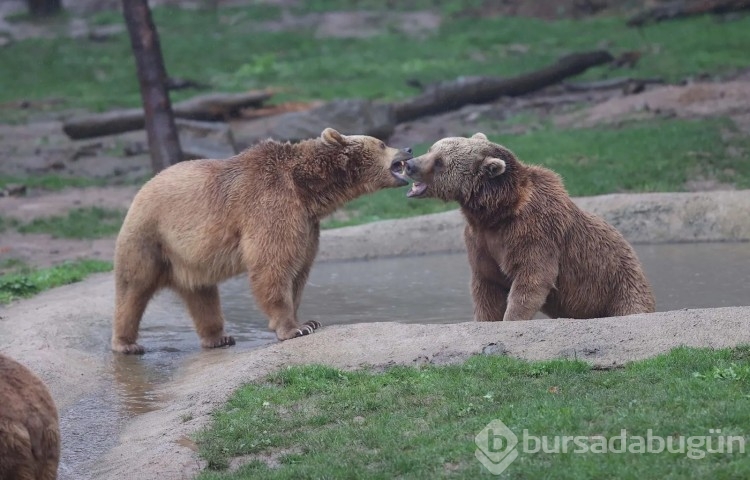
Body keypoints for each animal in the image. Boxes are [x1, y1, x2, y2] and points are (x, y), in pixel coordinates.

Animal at [114, 127, 414, 352]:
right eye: (382, 142)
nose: (409, 150)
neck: (308, 188)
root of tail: (142, 189)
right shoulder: (271, 203)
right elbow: (274, 264)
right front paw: (294, 328)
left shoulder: (307, 224)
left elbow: (299, 271)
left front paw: (308, 321)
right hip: (150, 236)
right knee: (133, 287)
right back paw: (126, 343)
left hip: (190, 257)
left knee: (202, 294)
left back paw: (218, 337)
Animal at [402, 134, 656, 322]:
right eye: (431, 148)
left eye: (439, 161)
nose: (409, 164)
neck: (495, 212)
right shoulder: (479, 239)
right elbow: (486, 284)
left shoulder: (533, 230)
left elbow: (532, 277)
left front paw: (511, 318)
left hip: (618, 283)